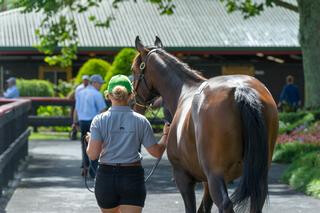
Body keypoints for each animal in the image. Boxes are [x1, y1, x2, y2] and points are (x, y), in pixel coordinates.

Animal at [132, 35, 278, 212]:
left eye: (133, 69)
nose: (134, 103)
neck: (183, 92)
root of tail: (241, 89)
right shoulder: (206, 181)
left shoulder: (184, 177)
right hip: (257, 174)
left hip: (215, 175)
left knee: (225, 203)